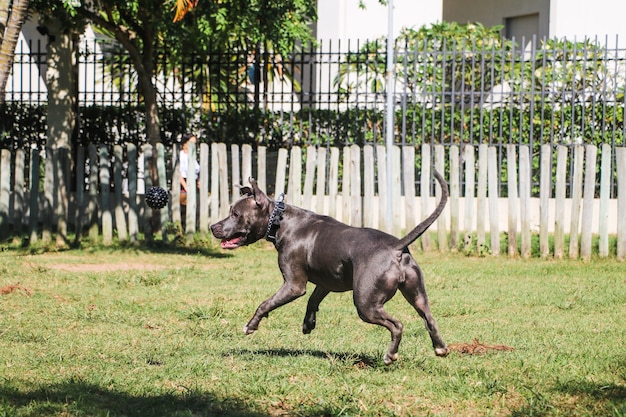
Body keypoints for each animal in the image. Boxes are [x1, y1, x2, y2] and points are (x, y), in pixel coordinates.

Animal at [211, 171, 448, 362]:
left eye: (235, 214)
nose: (212, 226)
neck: (279, 221)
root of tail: (396, 247)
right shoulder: (325, 282)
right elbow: (312, 301)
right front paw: (308, 324)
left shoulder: (293, 285)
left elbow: (265, 304)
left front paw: (251, 326)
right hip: (416, 295)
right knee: (429, 318)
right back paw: (441, 348)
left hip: (366, 304)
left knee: (397, 325)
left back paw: (390, 355)